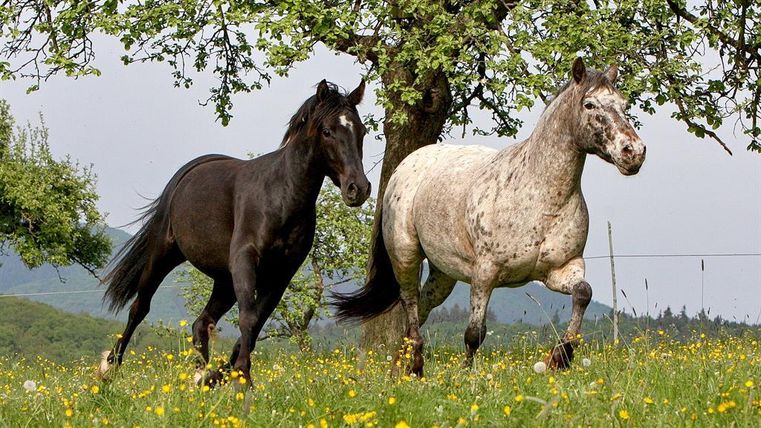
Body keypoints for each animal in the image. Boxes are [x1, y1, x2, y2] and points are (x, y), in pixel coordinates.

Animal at [97, 80, 370, 384]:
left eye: (361, 131)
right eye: (327, 131)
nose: (358, 189)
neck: (281, 196)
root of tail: (191, 170)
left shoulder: (280, 275)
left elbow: (255, 325)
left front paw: (225, 374)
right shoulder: (245, 260)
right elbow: (248, 318)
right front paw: (243, 380)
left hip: (223, 280)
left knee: (201, 322)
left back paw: (200, 377)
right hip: (163, 256)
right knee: (139, 308)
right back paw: (110, 367)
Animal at [333, 58, 646, 376]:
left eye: (623, 104)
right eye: (590, 104)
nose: (634, 152)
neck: (541, 197)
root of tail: (407, 164)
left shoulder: (562, 268)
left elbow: (583, 293)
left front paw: (561, 356)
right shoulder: (486, 272)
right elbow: (474, 333)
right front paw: (467, 375)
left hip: (444, 273)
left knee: (421, 308)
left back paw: (402, 365)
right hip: (406, 255)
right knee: (409, 302)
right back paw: (416, 366)